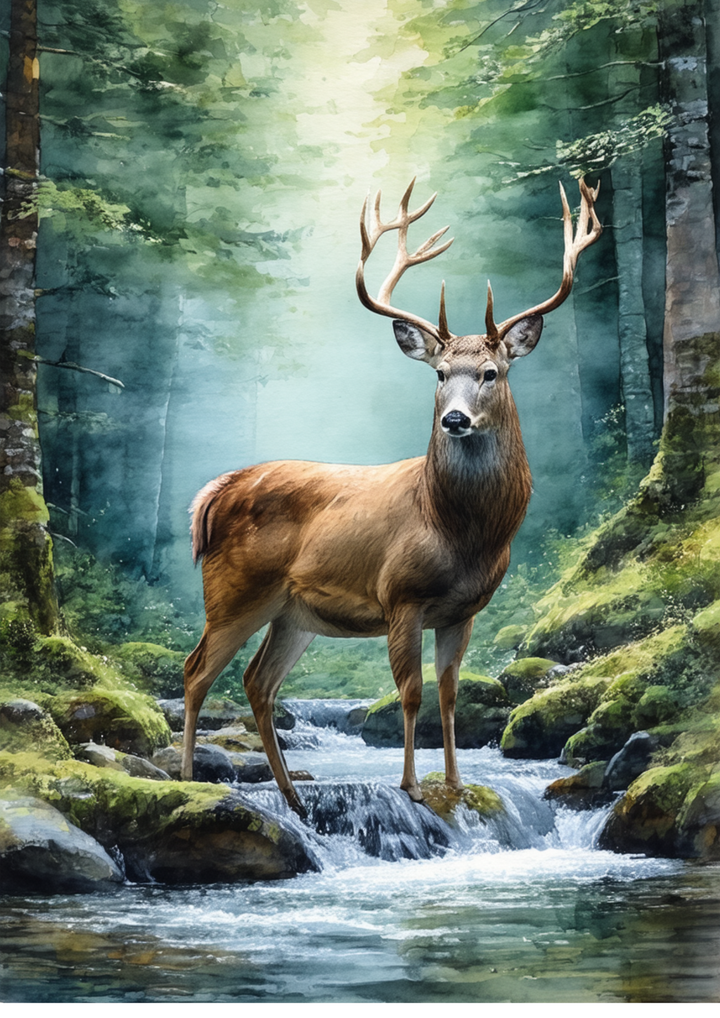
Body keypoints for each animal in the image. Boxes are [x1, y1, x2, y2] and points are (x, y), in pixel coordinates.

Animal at [181, 177, 601, 819]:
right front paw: (410, 786)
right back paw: (185, 780)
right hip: (233, 590)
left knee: (258, 681)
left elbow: (449, 693)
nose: (455, 419)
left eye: (491, 373)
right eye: (440, 374)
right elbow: (410, 692)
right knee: (197, 671)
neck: (458, 531)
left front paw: (454, 782)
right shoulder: (400, 595)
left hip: (292, 612)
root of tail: (214, 492)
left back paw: (291, 795)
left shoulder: (464, 611)